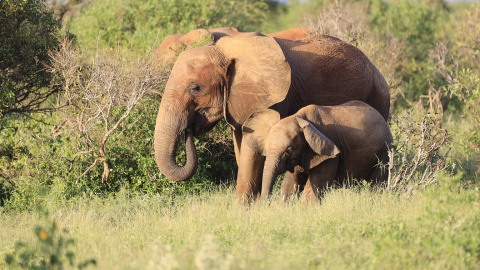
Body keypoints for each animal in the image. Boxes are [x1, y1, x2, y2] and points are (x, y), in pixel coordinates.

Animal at [242, 101, 392, 202]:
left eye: (289, 149)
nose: (263, 203)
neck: (298, 117)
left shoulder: (329, 153)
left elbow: (313, 188)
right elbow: (290, 184)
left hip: (384, 151)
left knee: (377, 184)